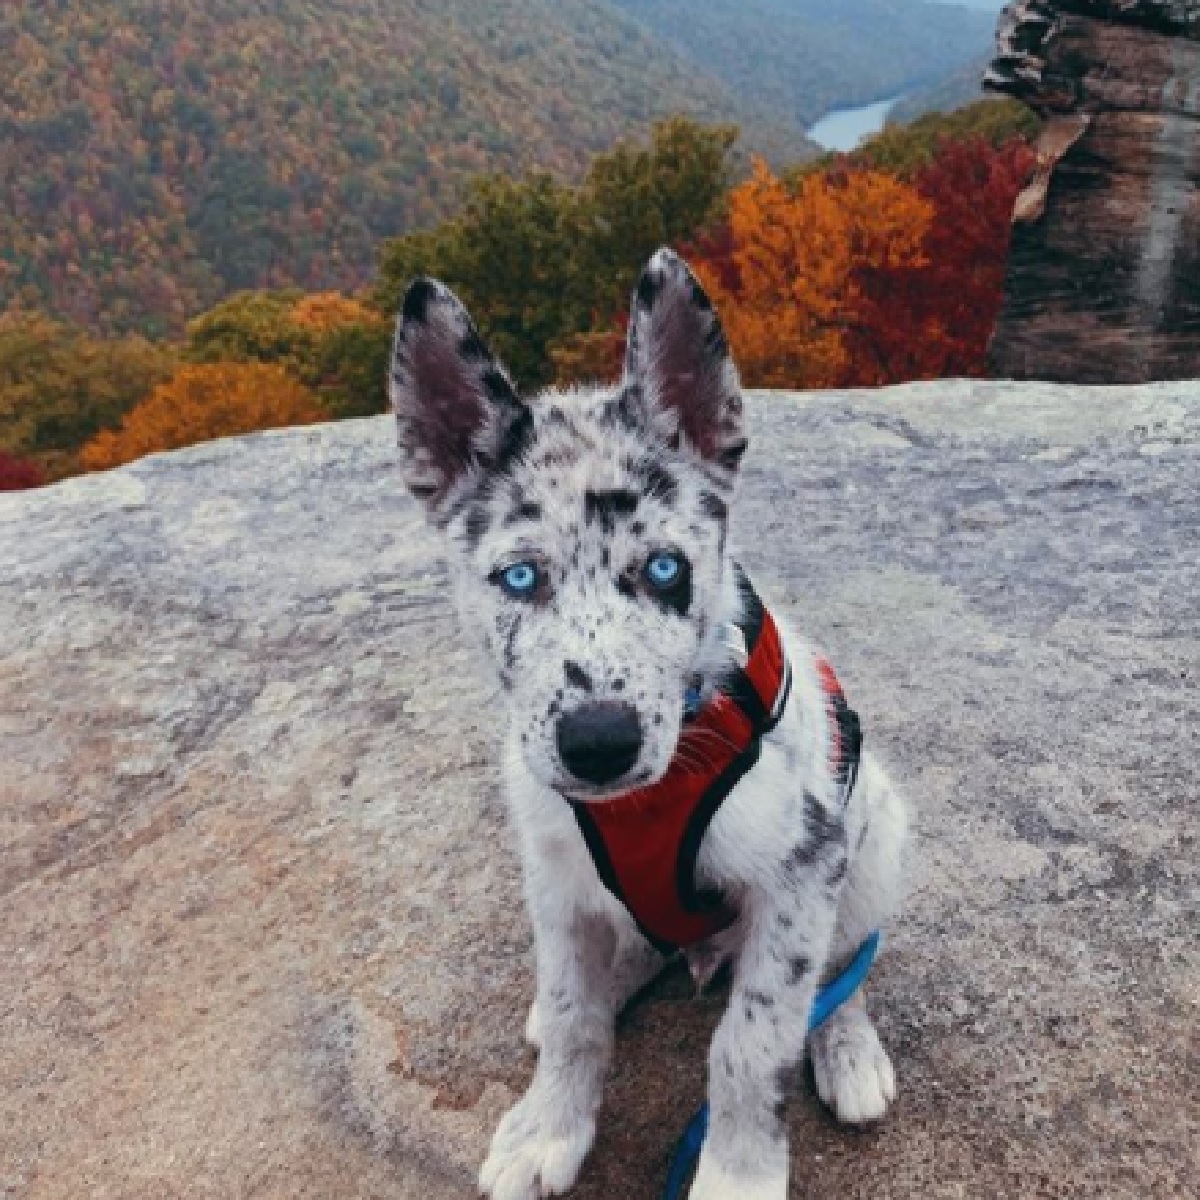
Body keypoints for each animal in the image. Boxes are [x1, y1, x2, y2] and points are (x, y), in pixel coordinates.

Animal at [391, 248, 907, 1195]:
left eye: (665, 569)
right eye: (519, 579)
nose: (598, 743)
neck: (647, 798)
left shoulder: (799, 873)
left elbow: (753, 1043)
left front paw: (737, 1173)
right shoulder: (554, 873)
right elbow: (572, 1019)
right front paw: (548, 1128)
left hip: (877, 830)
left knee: (846, 966)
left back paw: (847, 1047)